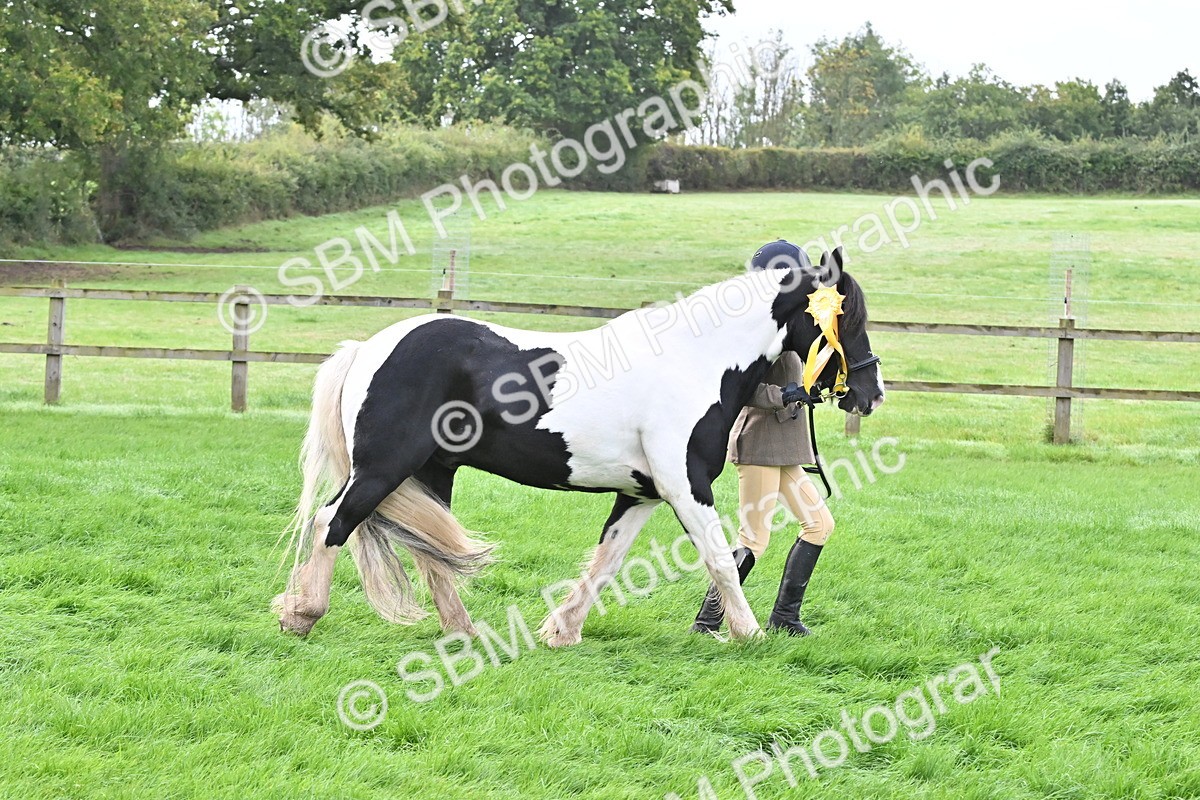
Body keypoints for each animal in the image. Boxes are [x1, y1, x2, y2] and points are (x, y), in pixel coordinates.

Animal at [273, 248, 884, 645]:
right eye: (845, 315)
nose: (871, 393)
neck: (697, 360)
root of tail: (367, 348)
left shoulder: (642, 494)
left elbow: (607, 562)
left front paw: (562, 631)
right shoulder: (685, 486)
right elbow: (719, 559)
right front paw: (750, 633)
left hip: (432, 473)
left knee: (429, 552)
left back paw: (465, 633)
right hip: (384, 468)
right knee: (332, 521)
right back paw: (302, 614)